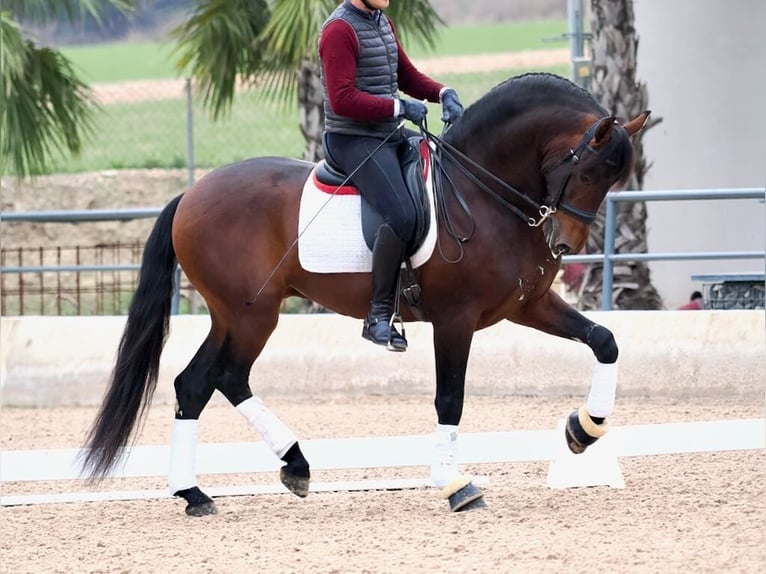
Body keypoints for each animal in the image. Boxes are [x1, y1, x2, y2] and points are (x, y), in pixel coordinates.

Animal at [81, 72, 652, 516]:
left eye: (612, 178)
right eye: (586, 172)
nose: (564, 244)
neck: (482, 192)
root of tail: (190, 194)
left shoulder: (527, 305)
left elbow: (604, 340)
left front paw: (584, 429)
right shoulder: (456, 319)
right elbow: (450, 397)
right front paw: (455, 484)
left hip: (233, 315)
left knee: (199, 383)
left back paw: (211, 488)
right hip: (251, 314)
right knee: (221, 377)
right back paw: (253, 474)